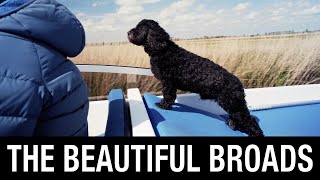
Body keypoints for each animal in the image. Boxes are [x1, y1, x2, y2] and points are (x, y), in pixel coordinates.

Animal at [128, 19, 264, 136]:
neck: (163, 49)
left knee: (251, 121)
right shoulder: (170, 84)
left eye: (139, 28)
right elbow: (171, 97)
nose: (128, 32)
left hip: (234, 105)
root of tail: (238, 83)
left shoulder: (168, 83)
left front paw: (163, 105)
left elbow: (168, 96)